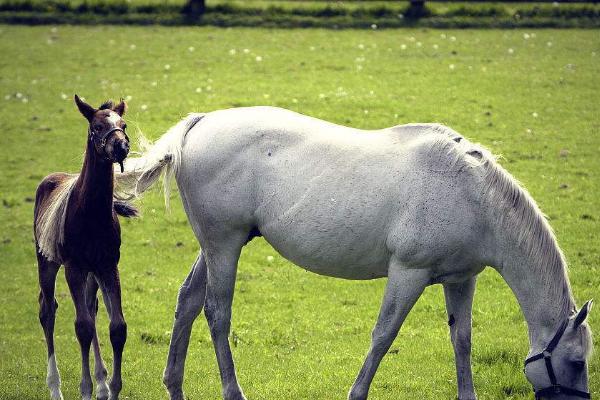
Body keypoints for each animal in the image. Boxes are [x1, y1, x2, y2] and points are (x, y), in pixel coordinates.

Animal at [34, 94, 137, 400]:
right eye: (96, 127)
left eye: (123, 124)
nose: (121, 146)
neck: (90, 211)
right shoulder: (75, 267)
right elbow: (82, 327)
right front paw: (85, 389)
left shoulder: (108, 266)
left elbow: (117, 327)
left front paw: (112, 388)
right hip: (47, 262)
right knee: (48, 310)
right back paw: (55, 387)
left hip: (92, 274)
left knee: (92, 308)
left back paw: (101, 384)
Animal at [118, 107, 596, 400]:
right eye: (576, 362)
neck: (471, 194)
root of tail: (202, 123)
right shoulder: (408, 273)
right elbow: (383, 336)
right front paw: (357, 392)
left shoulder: (462, 279)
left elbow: (462, 341)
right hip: (224, 246)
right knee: (216, 314)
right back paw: (233, 391)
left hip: (219, 246)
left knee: (187, 301)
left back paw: (174, 385)